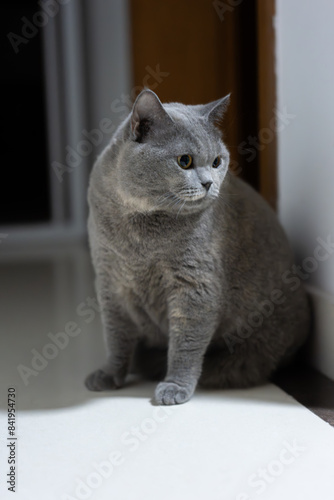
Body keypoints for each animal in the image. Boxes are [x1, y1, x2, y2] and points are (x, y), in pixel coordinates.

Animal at [84, 88, 310, 404]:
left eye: (217, 162)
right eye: (185, 161)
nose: (208, 183)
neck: (140, 230)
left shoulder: (195, 284)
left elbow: (186, 343)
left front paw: (174, 387)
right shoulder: (109, 281)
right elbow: (116, 335)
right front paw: (109, 374)